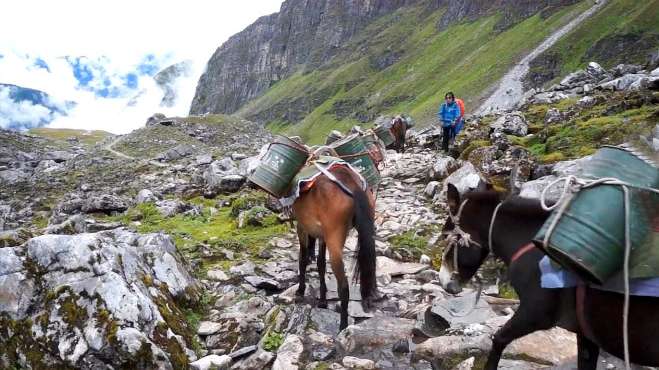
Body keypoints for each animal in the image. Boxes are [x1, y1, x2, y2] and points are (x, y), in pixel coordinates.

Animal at [292, 165, 378, 330]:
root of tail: (352, 185)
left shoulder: (302, 227)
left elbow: (303, 258)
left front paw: (300, 290)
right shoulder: (322, 235)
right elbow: (320, 264)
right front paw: (322, 299)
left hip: (335, 240)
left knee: (343, 286)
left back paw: (343, 326)